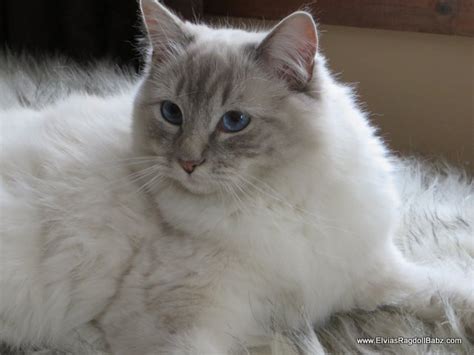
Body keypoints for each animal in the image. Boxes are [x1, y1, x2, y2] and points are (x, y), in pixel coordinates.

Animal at [0, 1, 472, 354]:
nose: (188, 163)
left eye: (234, 121)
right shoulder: (180, 328)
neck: (277, 199)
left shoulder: (369, 276)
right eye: (172, 113)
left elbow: (450, 292)